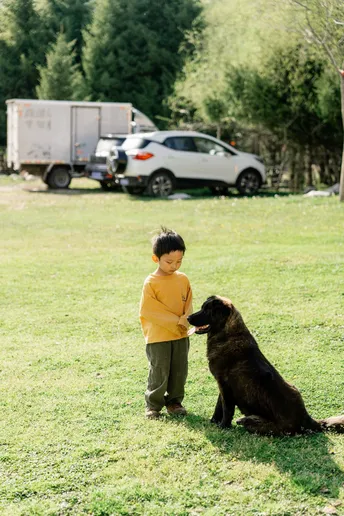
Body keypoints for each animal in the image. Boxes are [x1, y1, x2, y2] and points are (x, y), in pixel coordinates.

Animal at [188, 294, 344, 436]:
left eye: (207, 310)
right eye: (202, 307)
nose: (188, 318)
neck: (227, 334)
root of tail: (307, 419)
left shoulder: (225, 386)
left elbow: (227, 410)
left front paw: (223, 427)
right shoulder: (223, 387)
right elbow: (219, 407)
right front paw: (213, 422)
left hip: (255, 423)